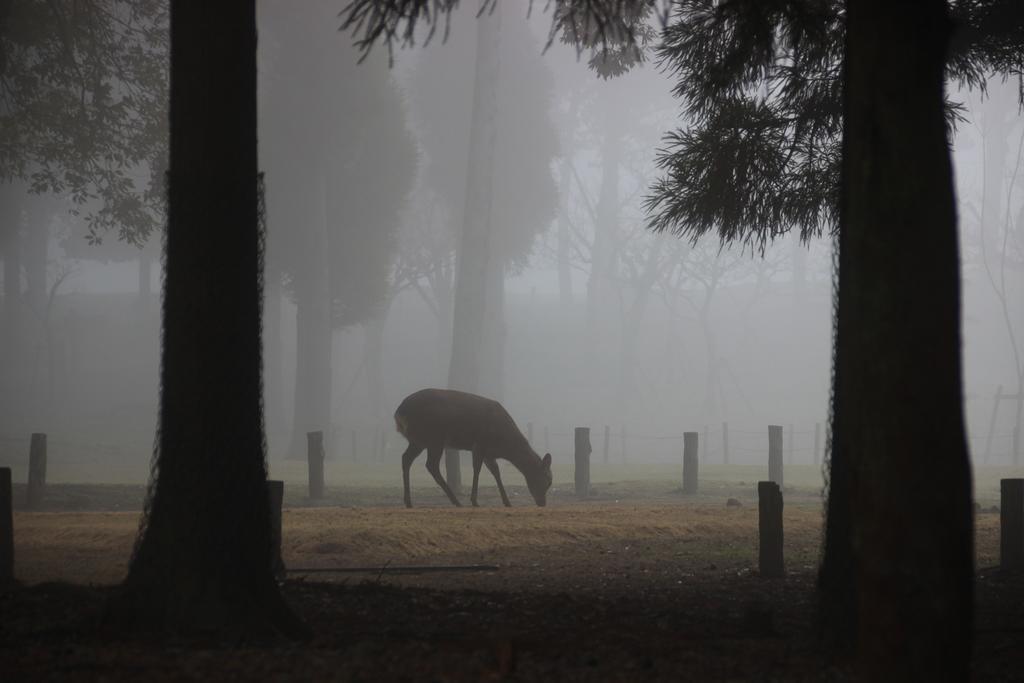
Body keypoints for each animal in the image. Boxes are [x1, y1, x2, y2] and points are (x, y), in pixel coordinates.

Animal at [393, 389, 552, 507]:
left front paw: (507, 502)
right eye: (547, 480)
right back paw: (456, 501)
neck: (504, 445)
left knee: (406, 458)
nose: (542, 503)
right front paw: (474, 501)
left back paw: (408, 502)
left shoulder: (489, 453)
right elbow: (477, 469)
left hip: (418, 441)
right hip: (434, 437)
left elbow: (496, 472)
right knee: (431, 465)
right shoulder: (480, 443)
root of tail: (399, 413)